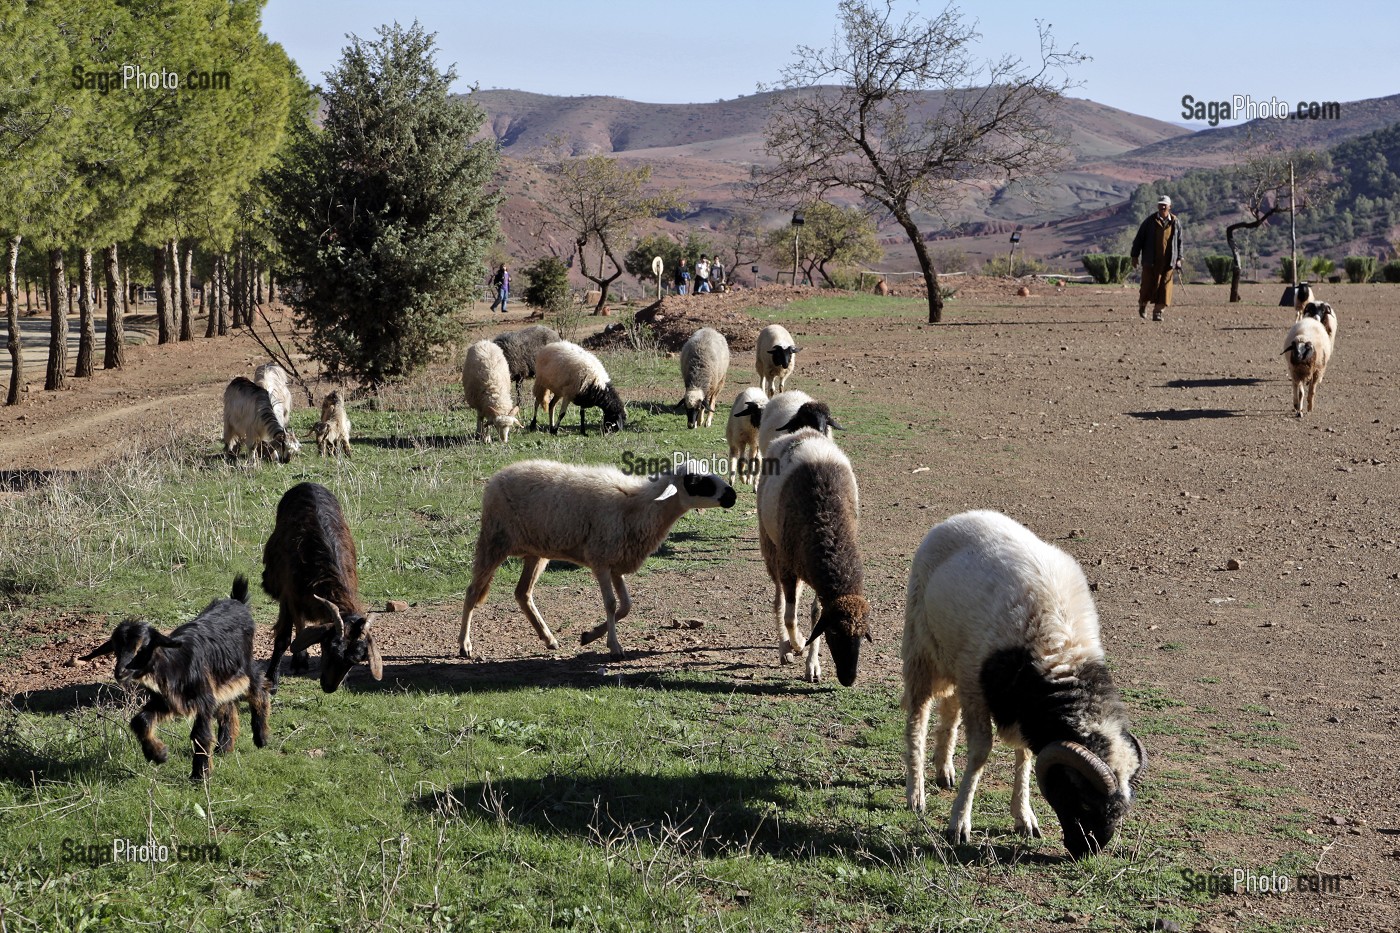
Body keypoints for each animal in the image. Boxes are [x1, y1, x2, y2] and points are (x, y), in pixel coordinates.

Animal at [81, 576, 270, 781]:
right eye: (116, 650)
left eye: (142, 648)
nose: (120, 672)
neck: (174, 663)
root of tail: (238, 602)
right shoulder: (168, 700)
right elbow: (140, 720)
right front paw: (158, 754)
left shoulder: (203, 699)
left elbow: (200, 735)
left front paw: (199, 775)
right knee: (227, 707)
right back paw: (224, 747)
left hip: (245, 668)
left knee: (259, 690)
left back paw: (261, 738)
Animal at [262, 482, 384, 693]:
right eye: (330, 646)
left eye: (357, 659)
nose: (329, 686)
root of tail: (307, 483)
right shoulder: (288, 594)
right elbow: (283, 638)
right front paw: (272, 681)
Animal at [458, 459, 738, 660]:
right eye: (696, 481)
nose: (732, 495)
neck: (640, 507)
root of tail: (498, 475)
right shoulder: (601, 560)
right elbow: (611, 604)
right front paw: (614, 646)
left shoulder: (617, 563)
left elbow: (626, 606)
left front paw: (589, 636)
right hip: (495, 540)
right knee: (472, 591)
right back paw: (464, 645)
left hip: (535, 550)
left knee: (522, 593)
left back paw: (548, 638)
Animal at [756, 428, 871, 686]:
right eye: (834, 632)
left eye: (861, 635)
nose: (848, 679)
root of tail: (803, 432)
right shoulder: (787, 568)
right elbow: (790, 617)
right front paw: (798, 643)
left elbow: (816, 614)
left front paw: (813, 666)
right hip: (772, 549)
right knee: (779, 602)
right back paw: (785, 648)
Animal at [902, 510, 1146, 858]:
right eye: (1084, 801)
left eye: (1121, 811)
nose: (1086, 852)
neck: (1056, 647)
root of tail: (961, 516)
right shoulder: (977, 689)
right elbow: (980, 753)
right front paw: (959, 823)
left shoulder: (1020, 704)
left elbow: (1026, 756)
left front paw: (1024, 817)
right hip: (921, 647)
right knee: (918, 716)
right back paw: (916, 792)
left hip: (953, 656)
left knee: (949, 709)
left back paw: (944, 770)